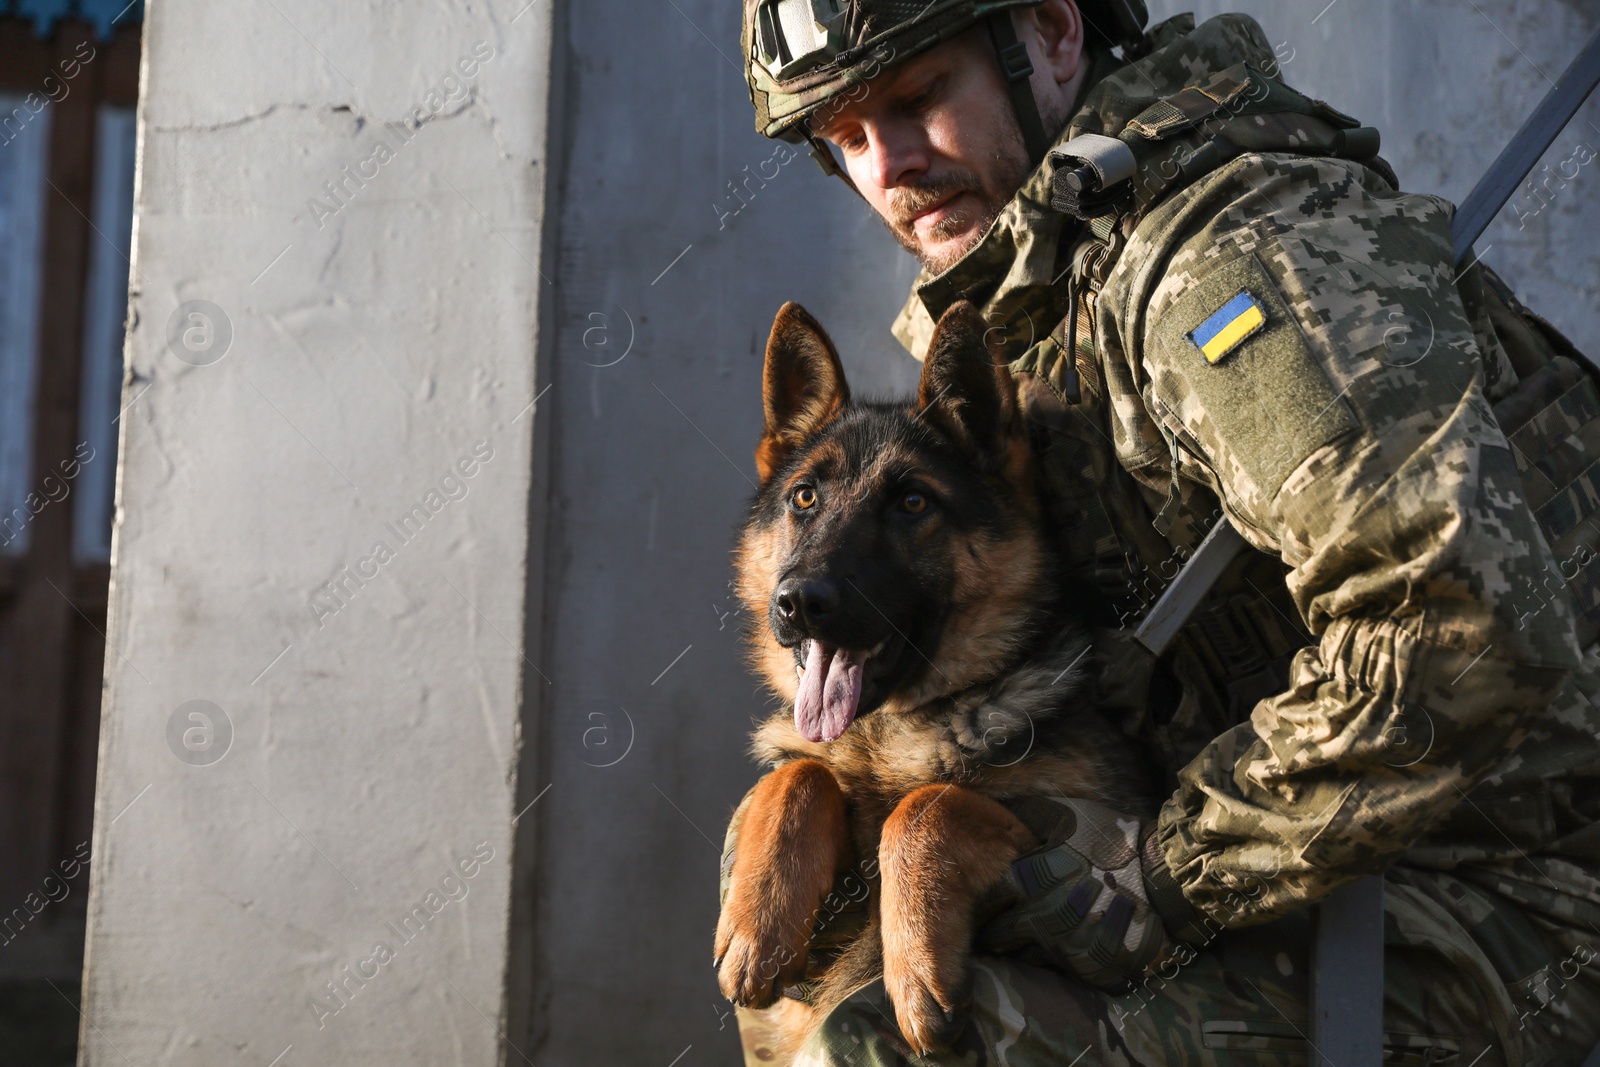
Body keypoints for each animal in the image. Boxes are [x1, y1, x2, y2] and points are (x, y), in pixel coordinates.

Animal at [713, 300, 1152, 1062]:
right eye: (805, 497)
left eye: (913, 503)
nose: (797, 602)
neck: (887, 736)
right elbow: (798, 772)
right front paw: (757, 919)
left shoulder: (1079, 830)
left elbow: (924, 806)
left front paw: (914, 967)